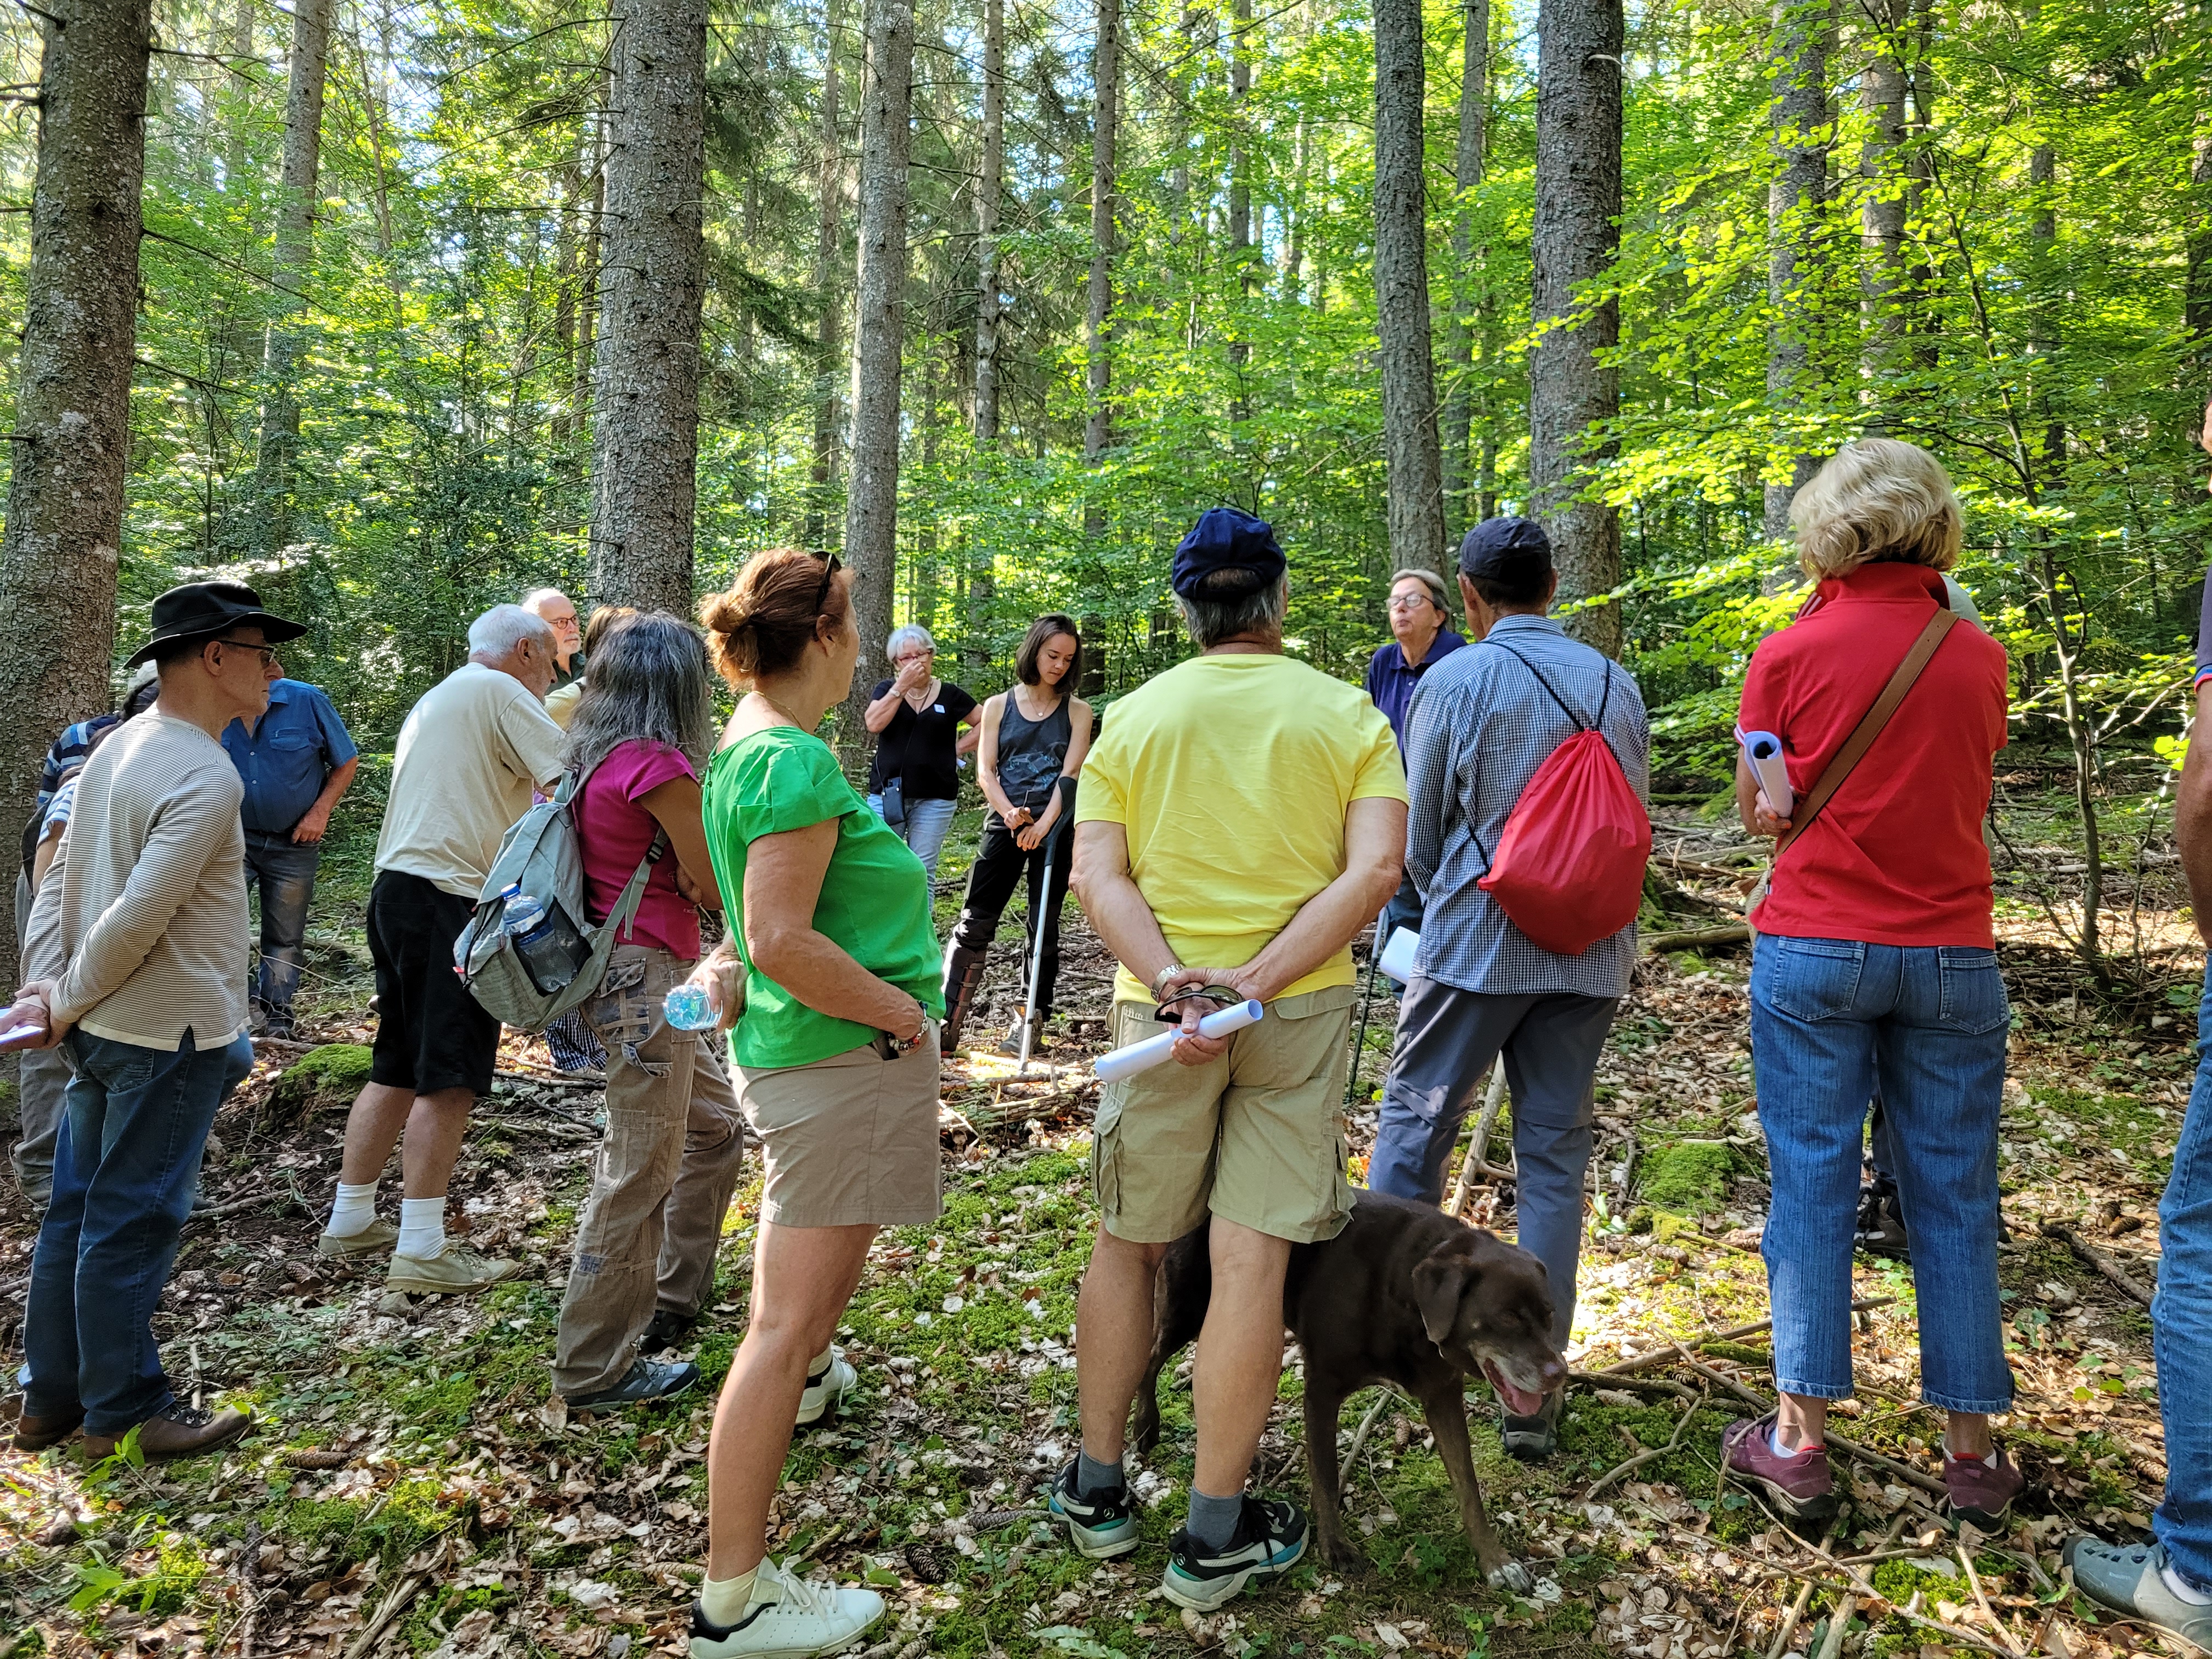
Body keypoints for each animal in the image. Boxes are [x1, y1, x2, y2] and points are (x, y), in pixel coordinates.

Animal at [1132, 1186, 1566, 1593]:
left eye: (1549, 1315)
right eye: (1507, 1318)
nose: (1559, 1373)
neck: (1404, 1293)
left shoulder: (1442, 1395)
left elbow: (1469, 1487)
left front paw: (1496, 1561)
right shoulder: (1322, 1390)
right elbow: (1325, 1476)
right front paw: (1335, 1546)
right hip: (1188, 1308)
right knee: (1150, 1358)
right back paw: (1145, 1426)